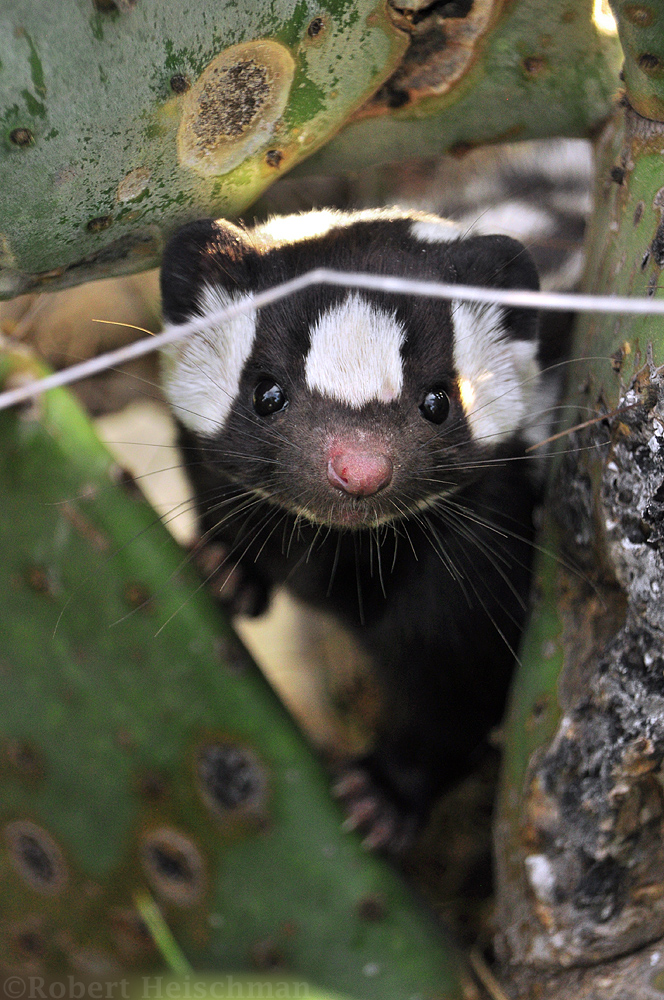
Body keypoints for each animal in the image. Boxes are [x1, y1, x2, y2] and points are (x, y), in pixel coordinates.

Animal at [160, 211, 544, 852]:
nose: (359, 469)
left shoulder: (477, 568)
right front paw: (225, 567)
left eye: (438, 400)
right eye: (267, 393)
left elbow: (460, 683)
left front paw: (381, 796)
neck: (340, 557)